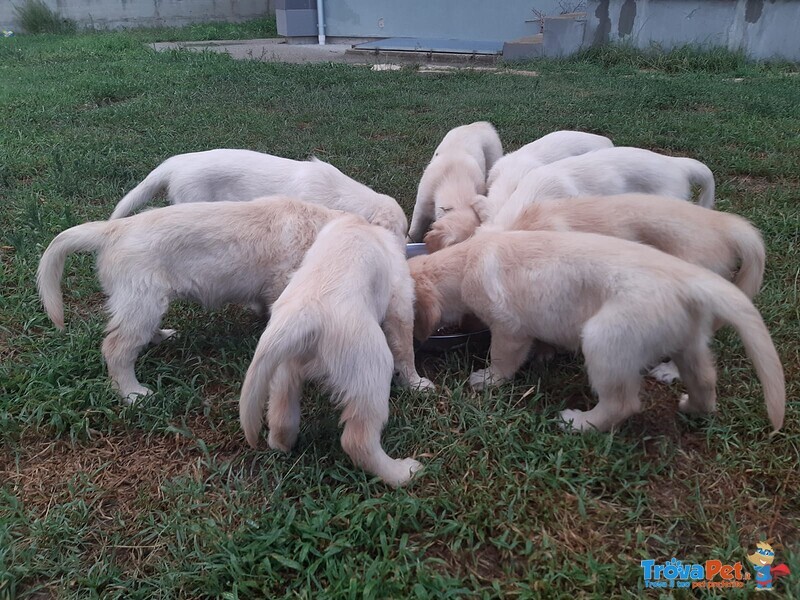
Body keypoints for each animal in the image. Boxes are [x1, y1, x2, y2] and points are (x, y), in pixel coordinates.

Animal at [37, 198, 346, 404]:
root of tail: (114, 230)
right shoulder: (285, 282)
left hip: (145, 301)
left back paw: (162, 336)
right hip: (141, 298)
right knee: (116, 348)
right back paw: (133, 393)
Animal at [241, 214, 434, 488]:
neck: (359, 224)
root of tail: (304, 315)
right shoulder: (400, 298)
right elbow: (405, 350)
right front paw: (418, 384)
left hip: (284, 366)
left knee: (281, 413)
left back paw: (283, 443)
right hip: (371, 366)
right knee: (357, 440)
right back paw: (403, 473)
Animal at [410, 232, 784, 434]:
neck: (463, 262)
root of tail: (686, 279)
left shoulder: (510, 327)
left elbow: (503, 359)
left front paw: (487, 379)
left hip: (605, 339)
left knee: (621, 403)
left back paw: (579, 423)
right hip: (687, 340)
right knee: (705, 380)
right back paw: (693, 407)